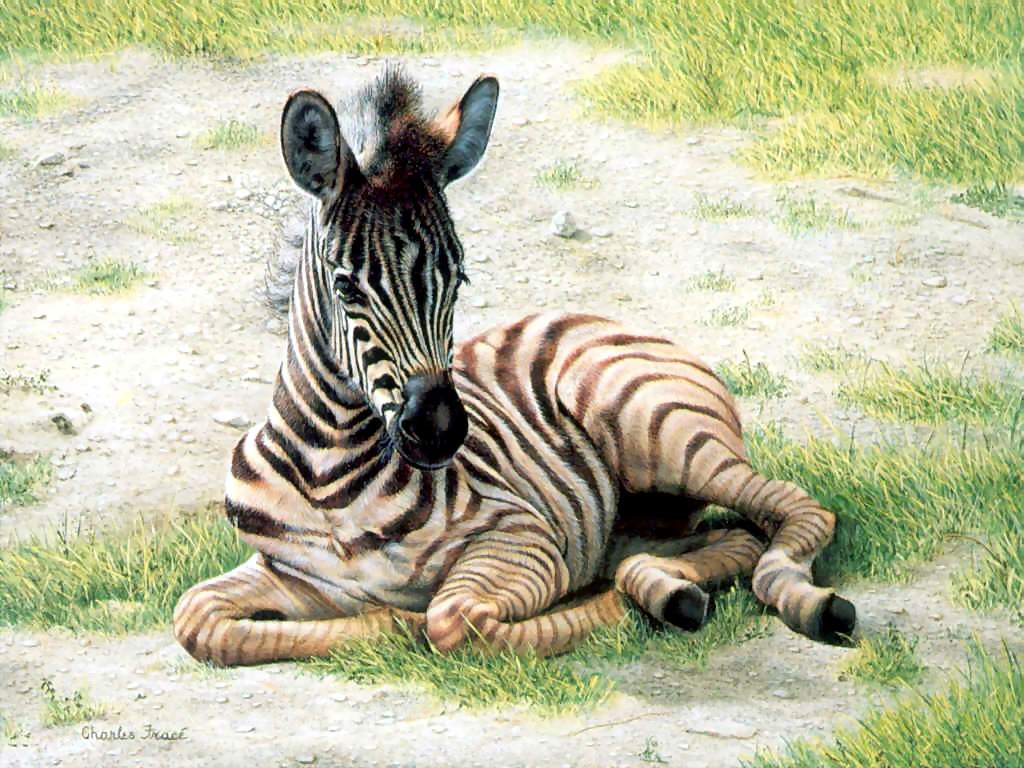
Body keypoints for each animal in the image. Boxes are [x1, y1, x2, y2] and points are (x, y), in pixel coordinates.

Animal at [173, 65, 856, 666]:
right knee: (734, 534)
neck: (326, 476)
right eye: (347, 288)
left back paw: (793, 603)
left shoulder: (522, 536)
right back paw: (667, 585)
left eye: (458, 281)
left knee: (797, 511)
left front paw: (404, 623)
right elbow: (197, 619)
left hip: (663, 431)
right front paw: (385, 624)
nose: (441, 430)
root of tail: (603, 320)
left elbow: (455, 621)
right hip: (651, 509)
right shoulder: (289, 572)